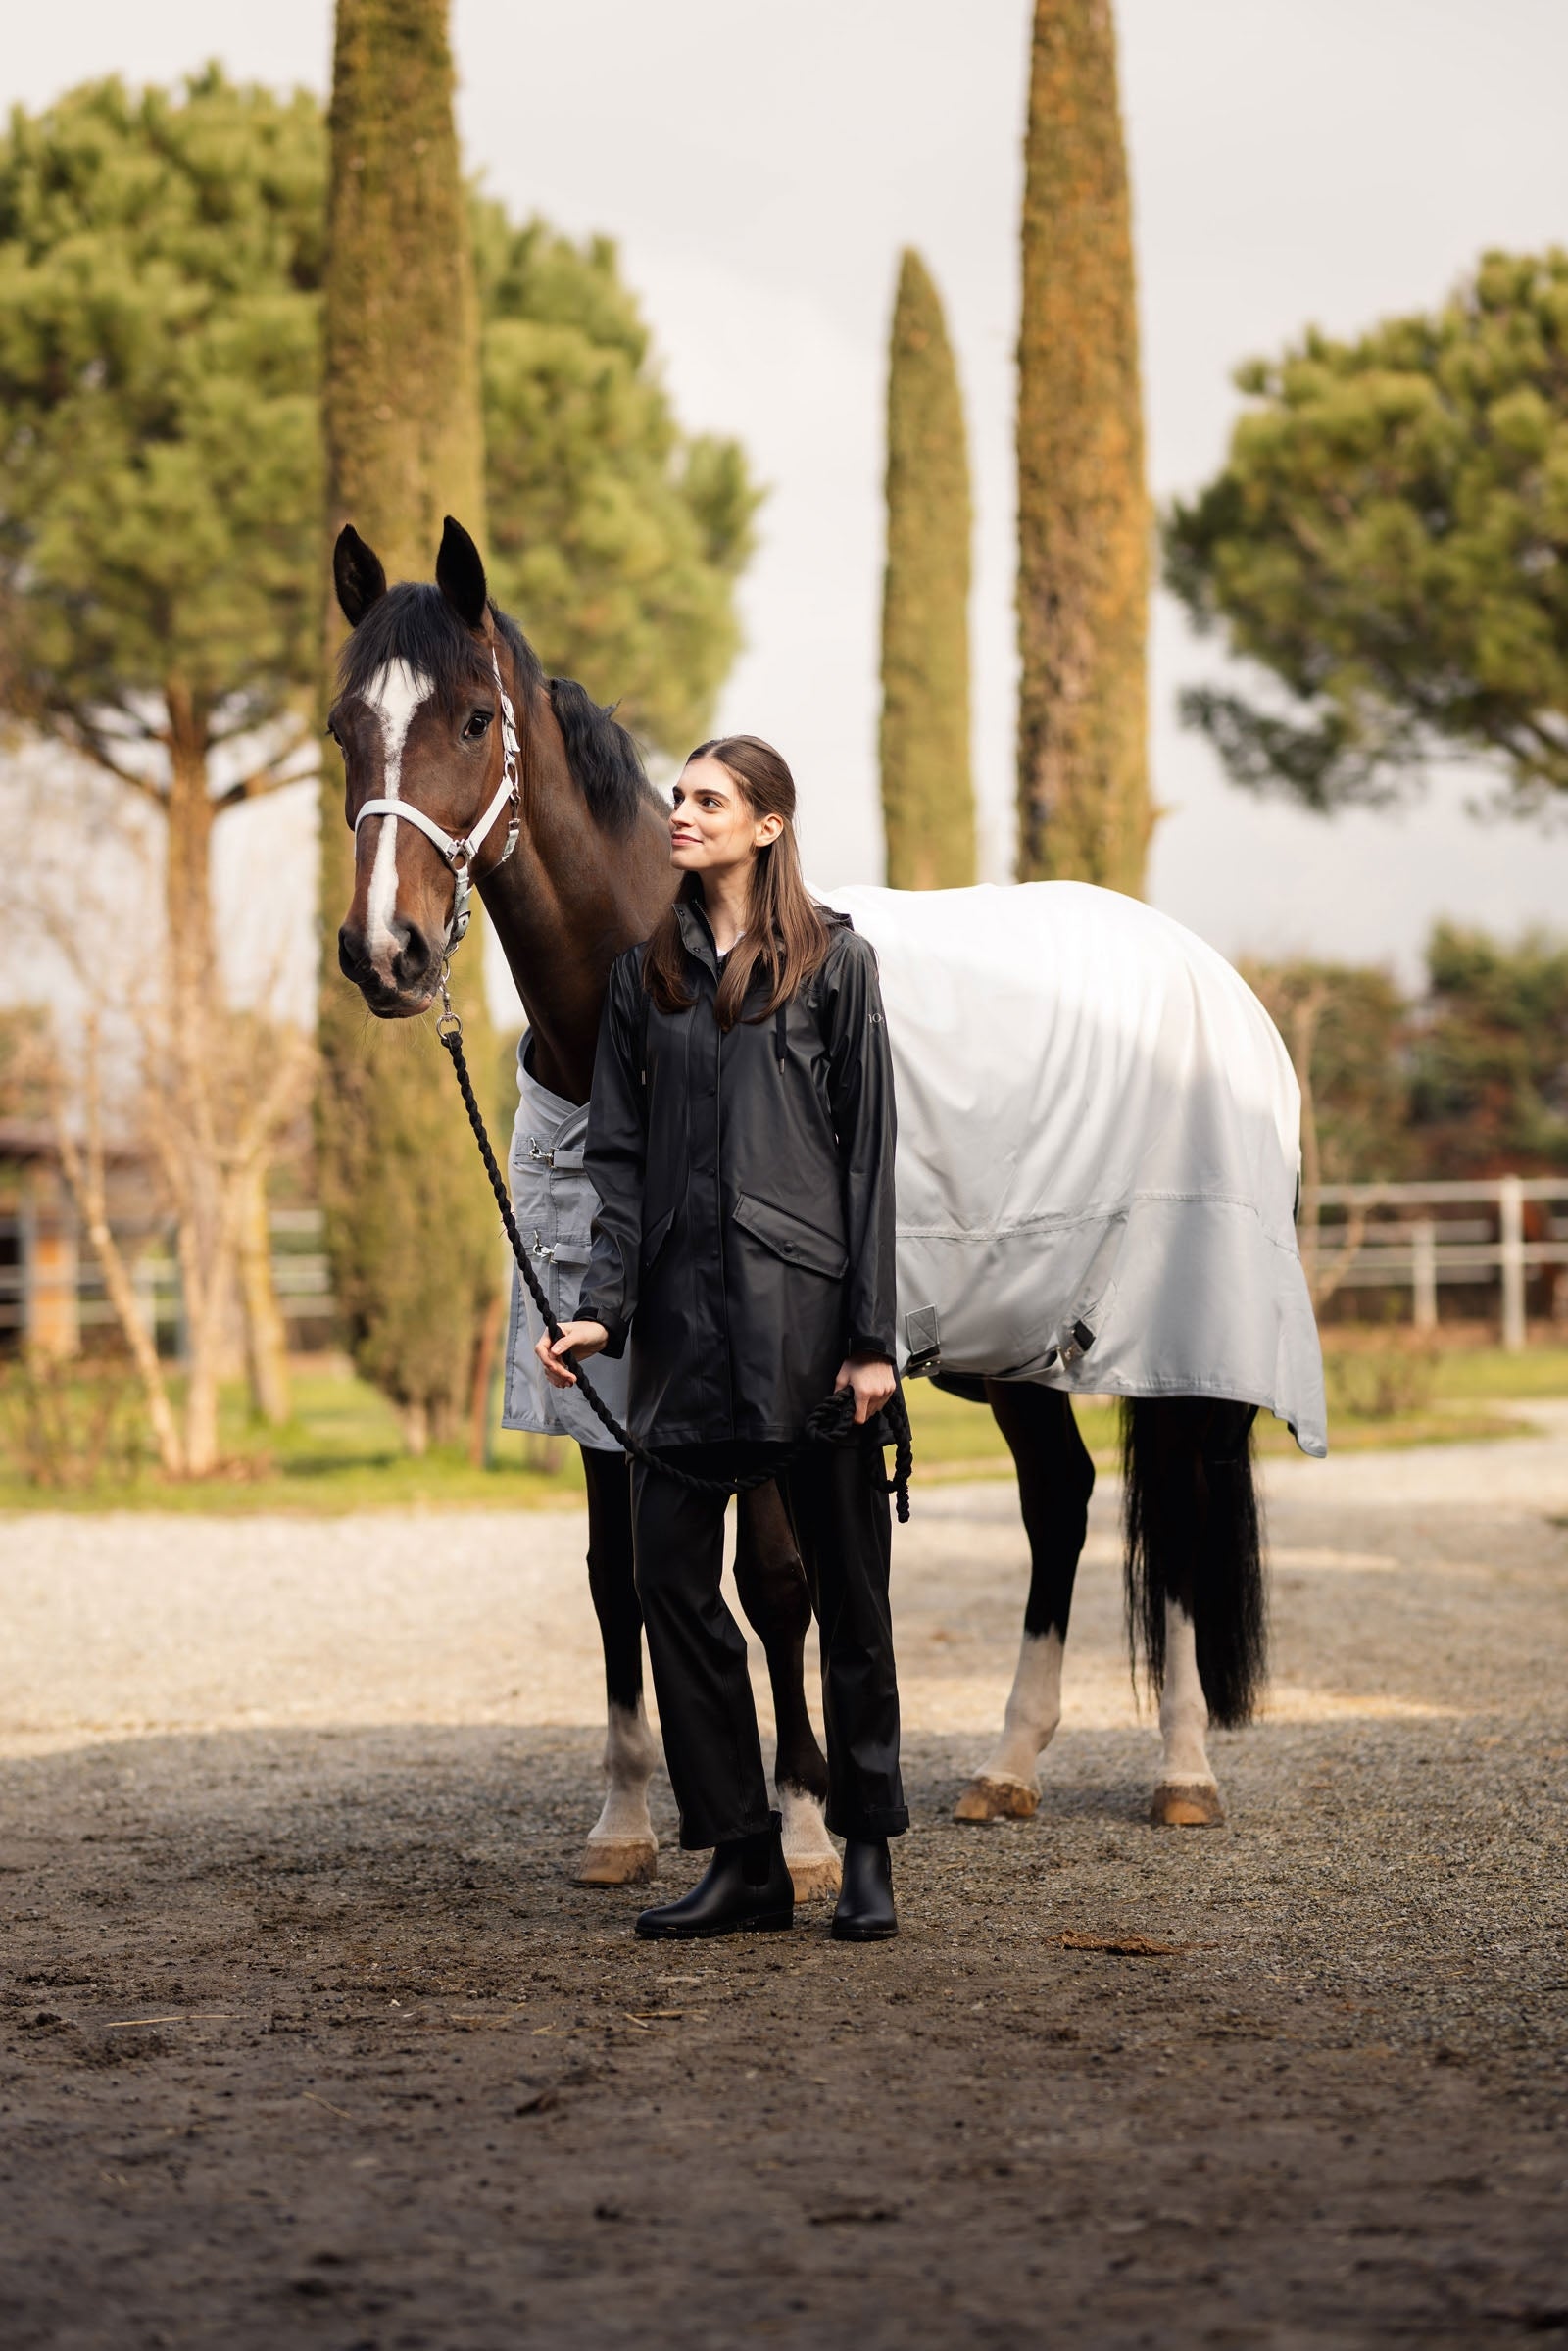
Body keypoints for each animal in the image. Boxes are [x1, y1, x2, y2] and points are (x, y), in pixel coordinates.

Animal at [327, 516, 1322, 1895]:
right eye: (341, 727)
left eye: (474, 718)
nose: (388, 952)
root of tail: (1212, 977)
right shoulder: (594, 1375)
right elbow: (614, 1578)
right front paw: (627, 1822)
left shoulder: (760, 1380)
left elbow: (776, 1576)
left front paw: (796, 1824)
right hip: (1012, 1342)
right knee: (1060, 1499)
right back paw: (1008, 1766)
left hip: (1190, 1334)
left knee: (1172, 1515)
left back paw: (1183, 1770)